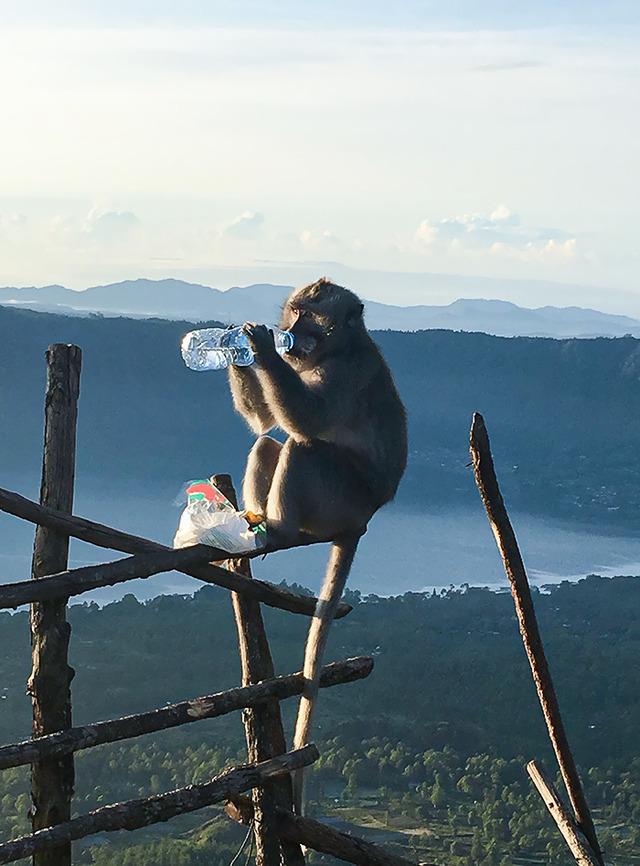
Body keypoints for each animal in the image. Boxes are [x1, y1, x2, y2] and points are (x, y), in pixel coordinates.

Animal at [228, 278, 407, 812]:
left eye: (310, 315)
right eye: (294, 310)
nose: (289, 331)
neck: (337, 347)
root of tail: (365, 518)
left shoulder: (345, 373)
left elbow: (308, 420)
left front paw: (260, 347)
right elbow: (264, 421)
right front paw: (238, 352)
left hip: (339, 499)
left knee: (302, 447)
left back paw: (281, 529)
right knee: (268, 442)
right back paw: (256, 522)